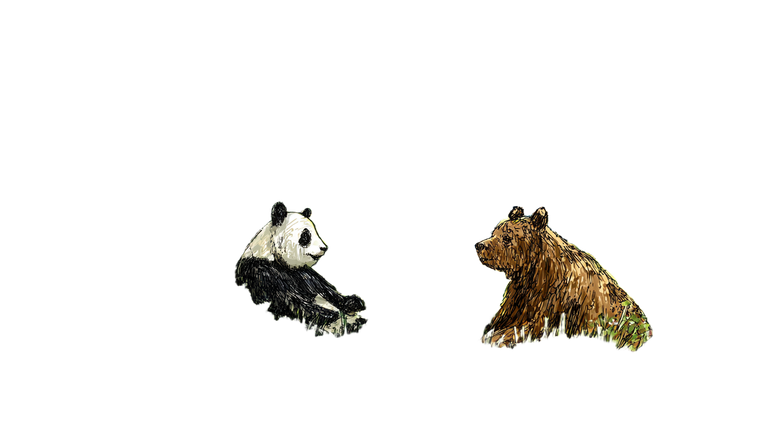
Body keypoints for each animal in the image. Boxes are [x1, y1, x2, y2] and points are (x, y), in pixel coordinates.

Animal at [474, 205, 653, 352]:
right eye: (494, 232)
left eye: (506, 237)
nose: (480, 245)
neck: (532, 272)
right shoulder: (520, 299)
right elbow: (499, 320)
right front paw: (490, 333)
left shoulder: (552, 303)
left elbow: (528, 328)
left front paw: (496, 338)